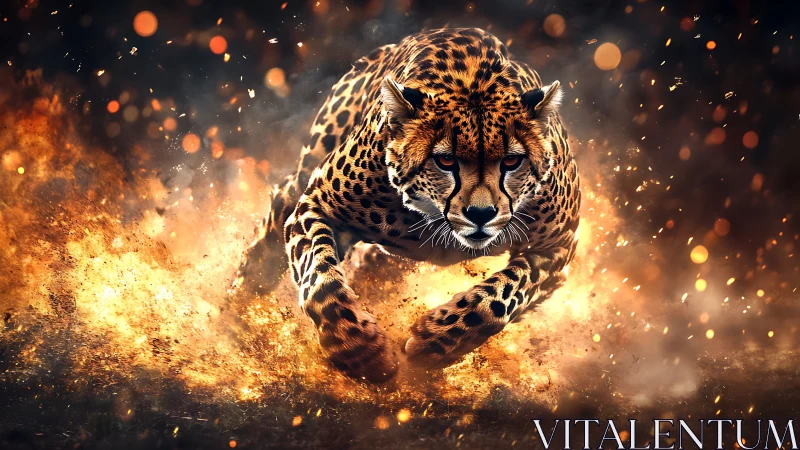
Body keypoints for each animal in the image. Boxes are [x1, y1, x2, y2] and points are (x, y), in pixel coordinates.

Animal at [233, 28, 580, 382]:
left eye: (511, 160)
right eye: (445, 160)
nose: (481, 215)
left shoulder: (559, 247)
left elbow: (502, 298)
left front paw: (435, 340)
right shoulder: (318, 204)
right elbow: (321, 284)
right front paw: (361, 351)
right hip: (309, 168)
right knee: (279, 209)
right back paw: (239, 306)